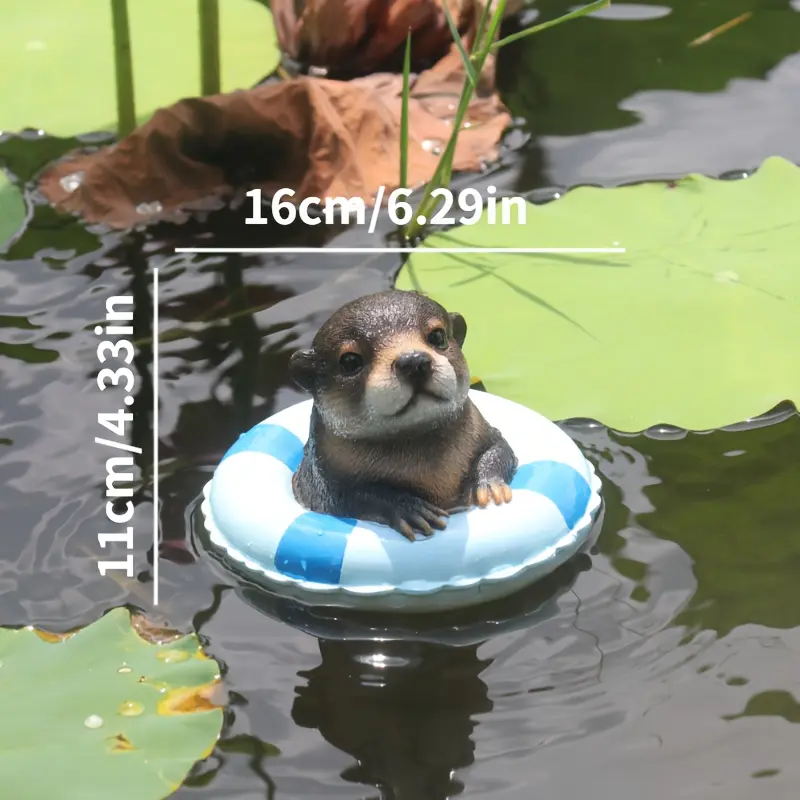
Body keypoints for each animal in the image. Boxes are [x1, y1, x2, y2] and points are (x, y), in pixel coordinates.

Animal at [288, 290, 518, 541]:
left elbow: (500, 447)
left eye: (437, 336)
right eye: (349, 361)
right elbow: (351, 497)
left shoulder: (483, 430)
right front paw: (409, 509)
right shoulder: (322, 484)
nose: (413, 360)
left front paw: (488, 485)